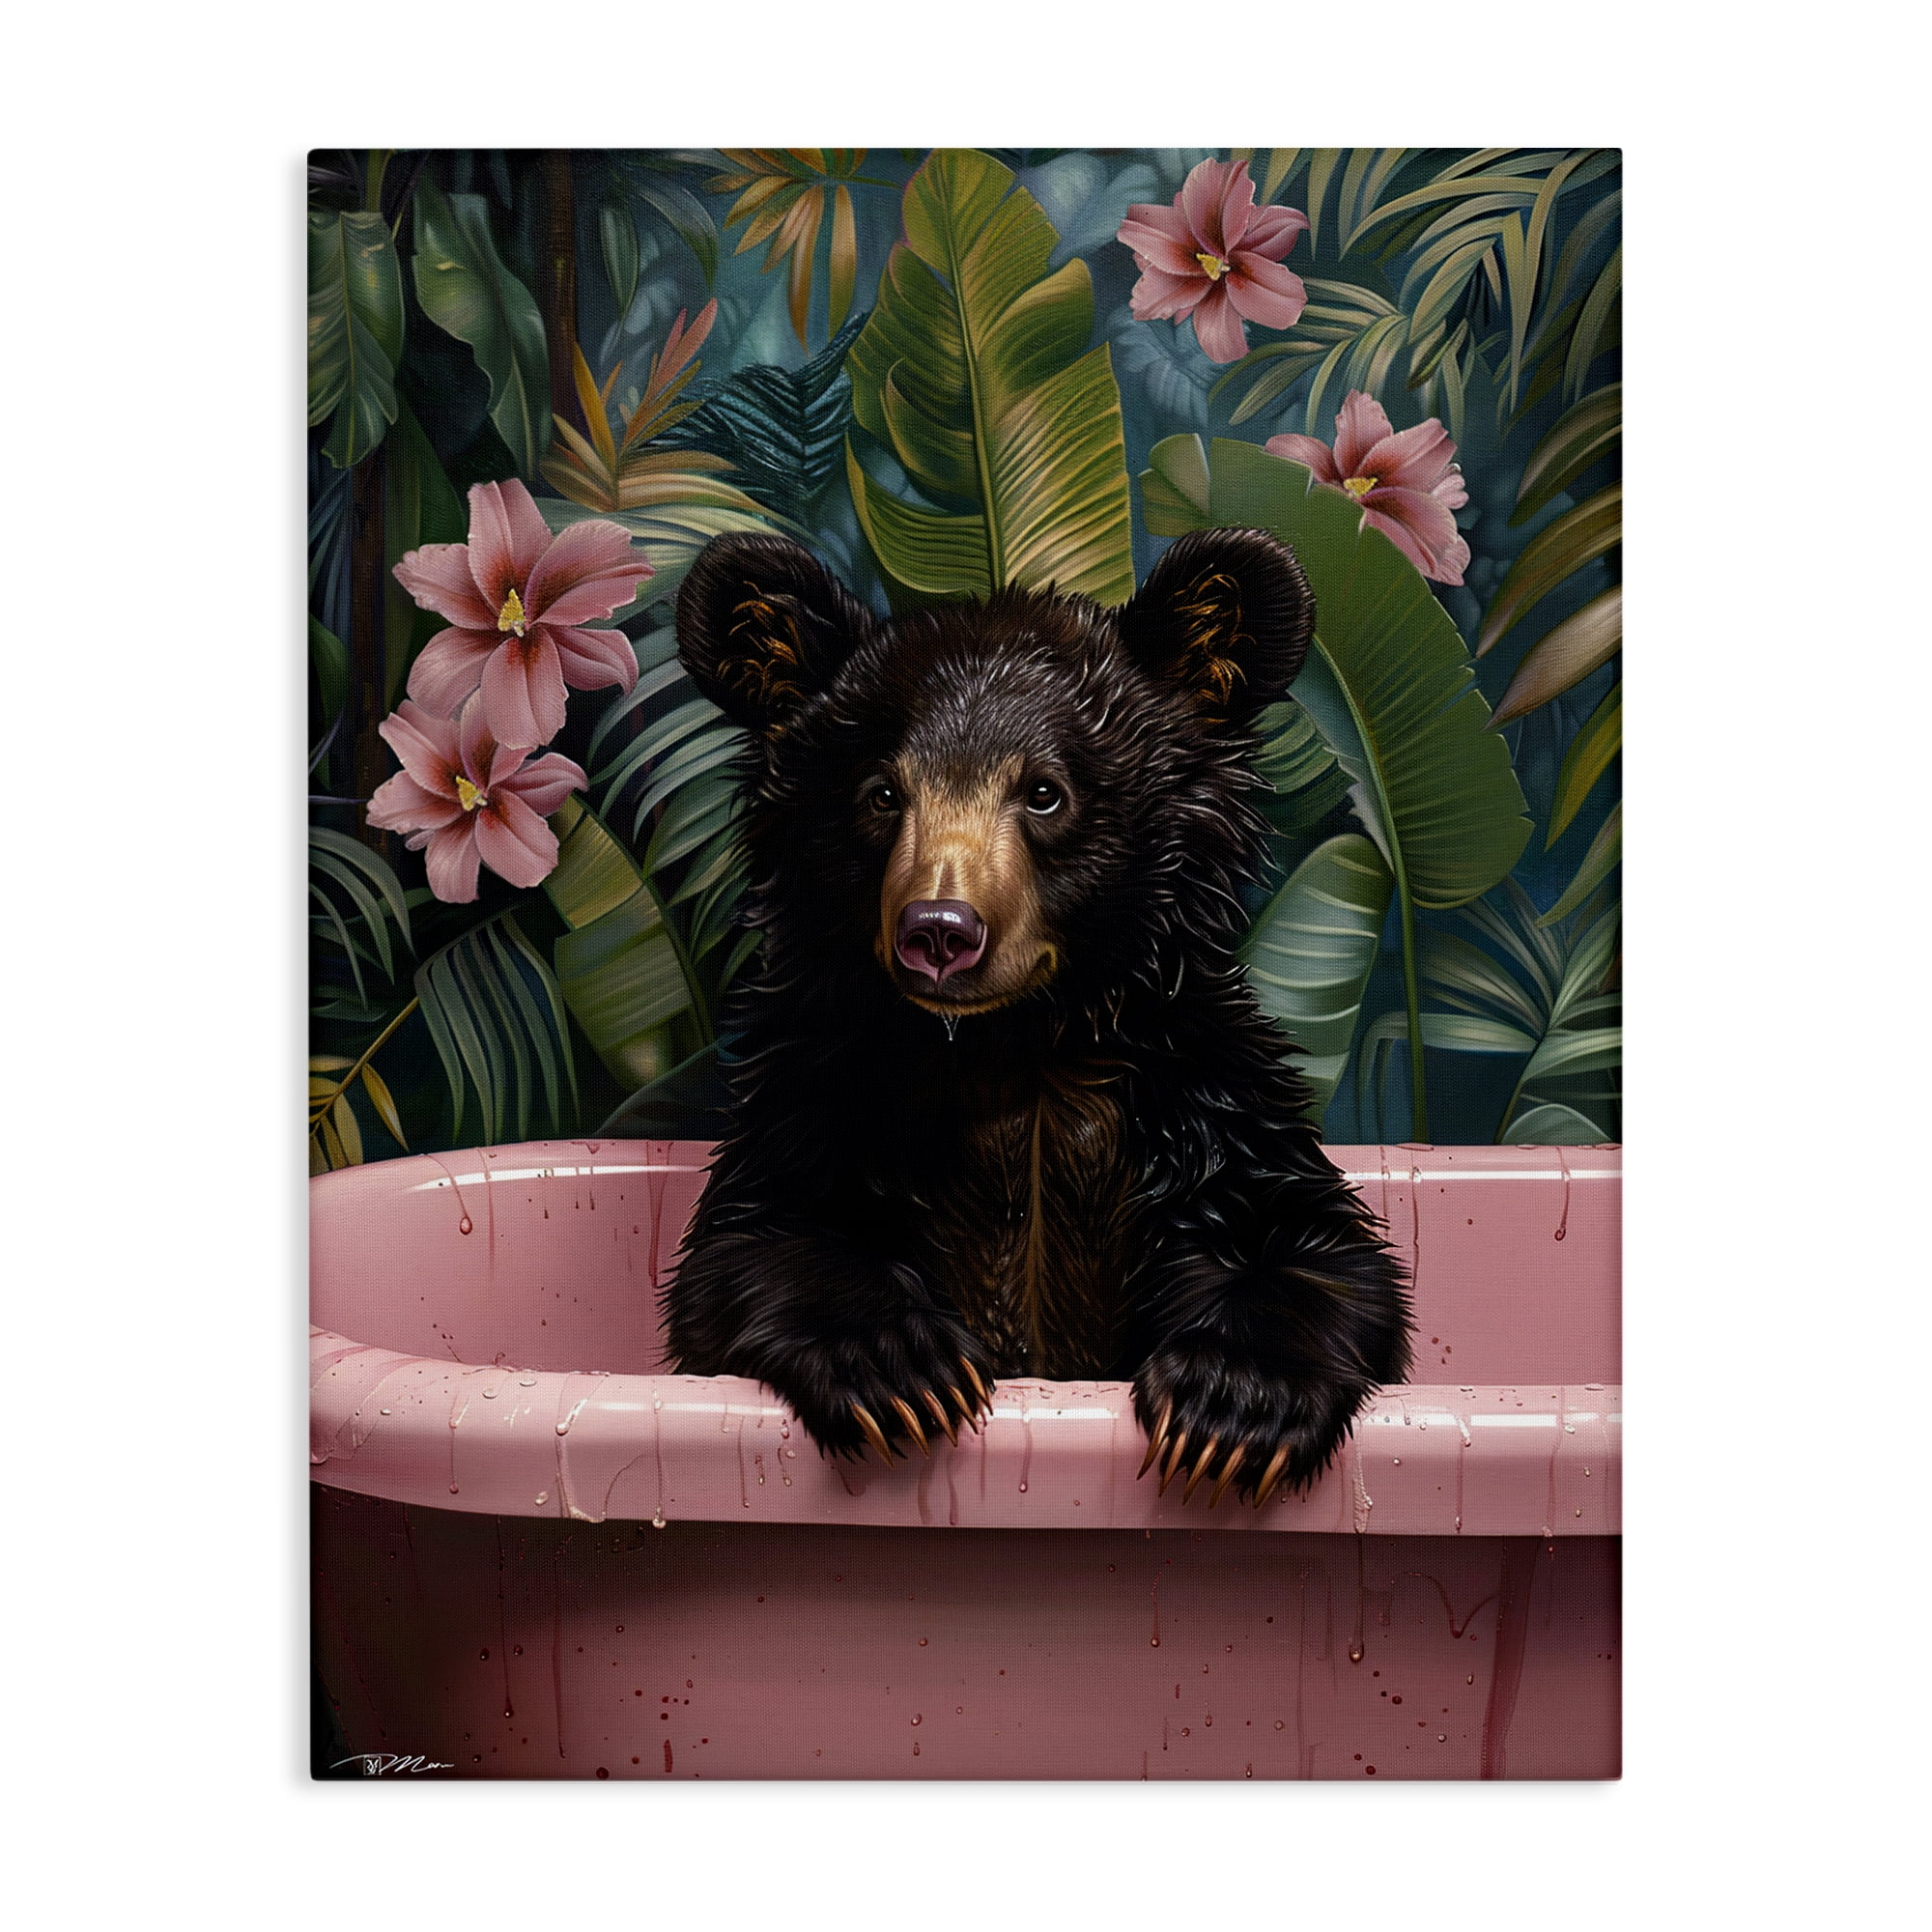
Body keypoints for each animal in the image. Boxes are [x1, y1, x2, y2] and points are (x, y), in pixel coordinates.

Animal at [662, 525, 1411, 1507]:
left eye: (1044, 791)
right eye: (883, 792)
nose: (941, 931)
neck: (1017, 1043)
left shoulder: (1200, 1097)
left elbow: (1314, 1243)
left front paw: (1234, 1402)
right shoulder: (824, 1093)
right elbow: (752, 1236)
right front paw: (900, 1365)